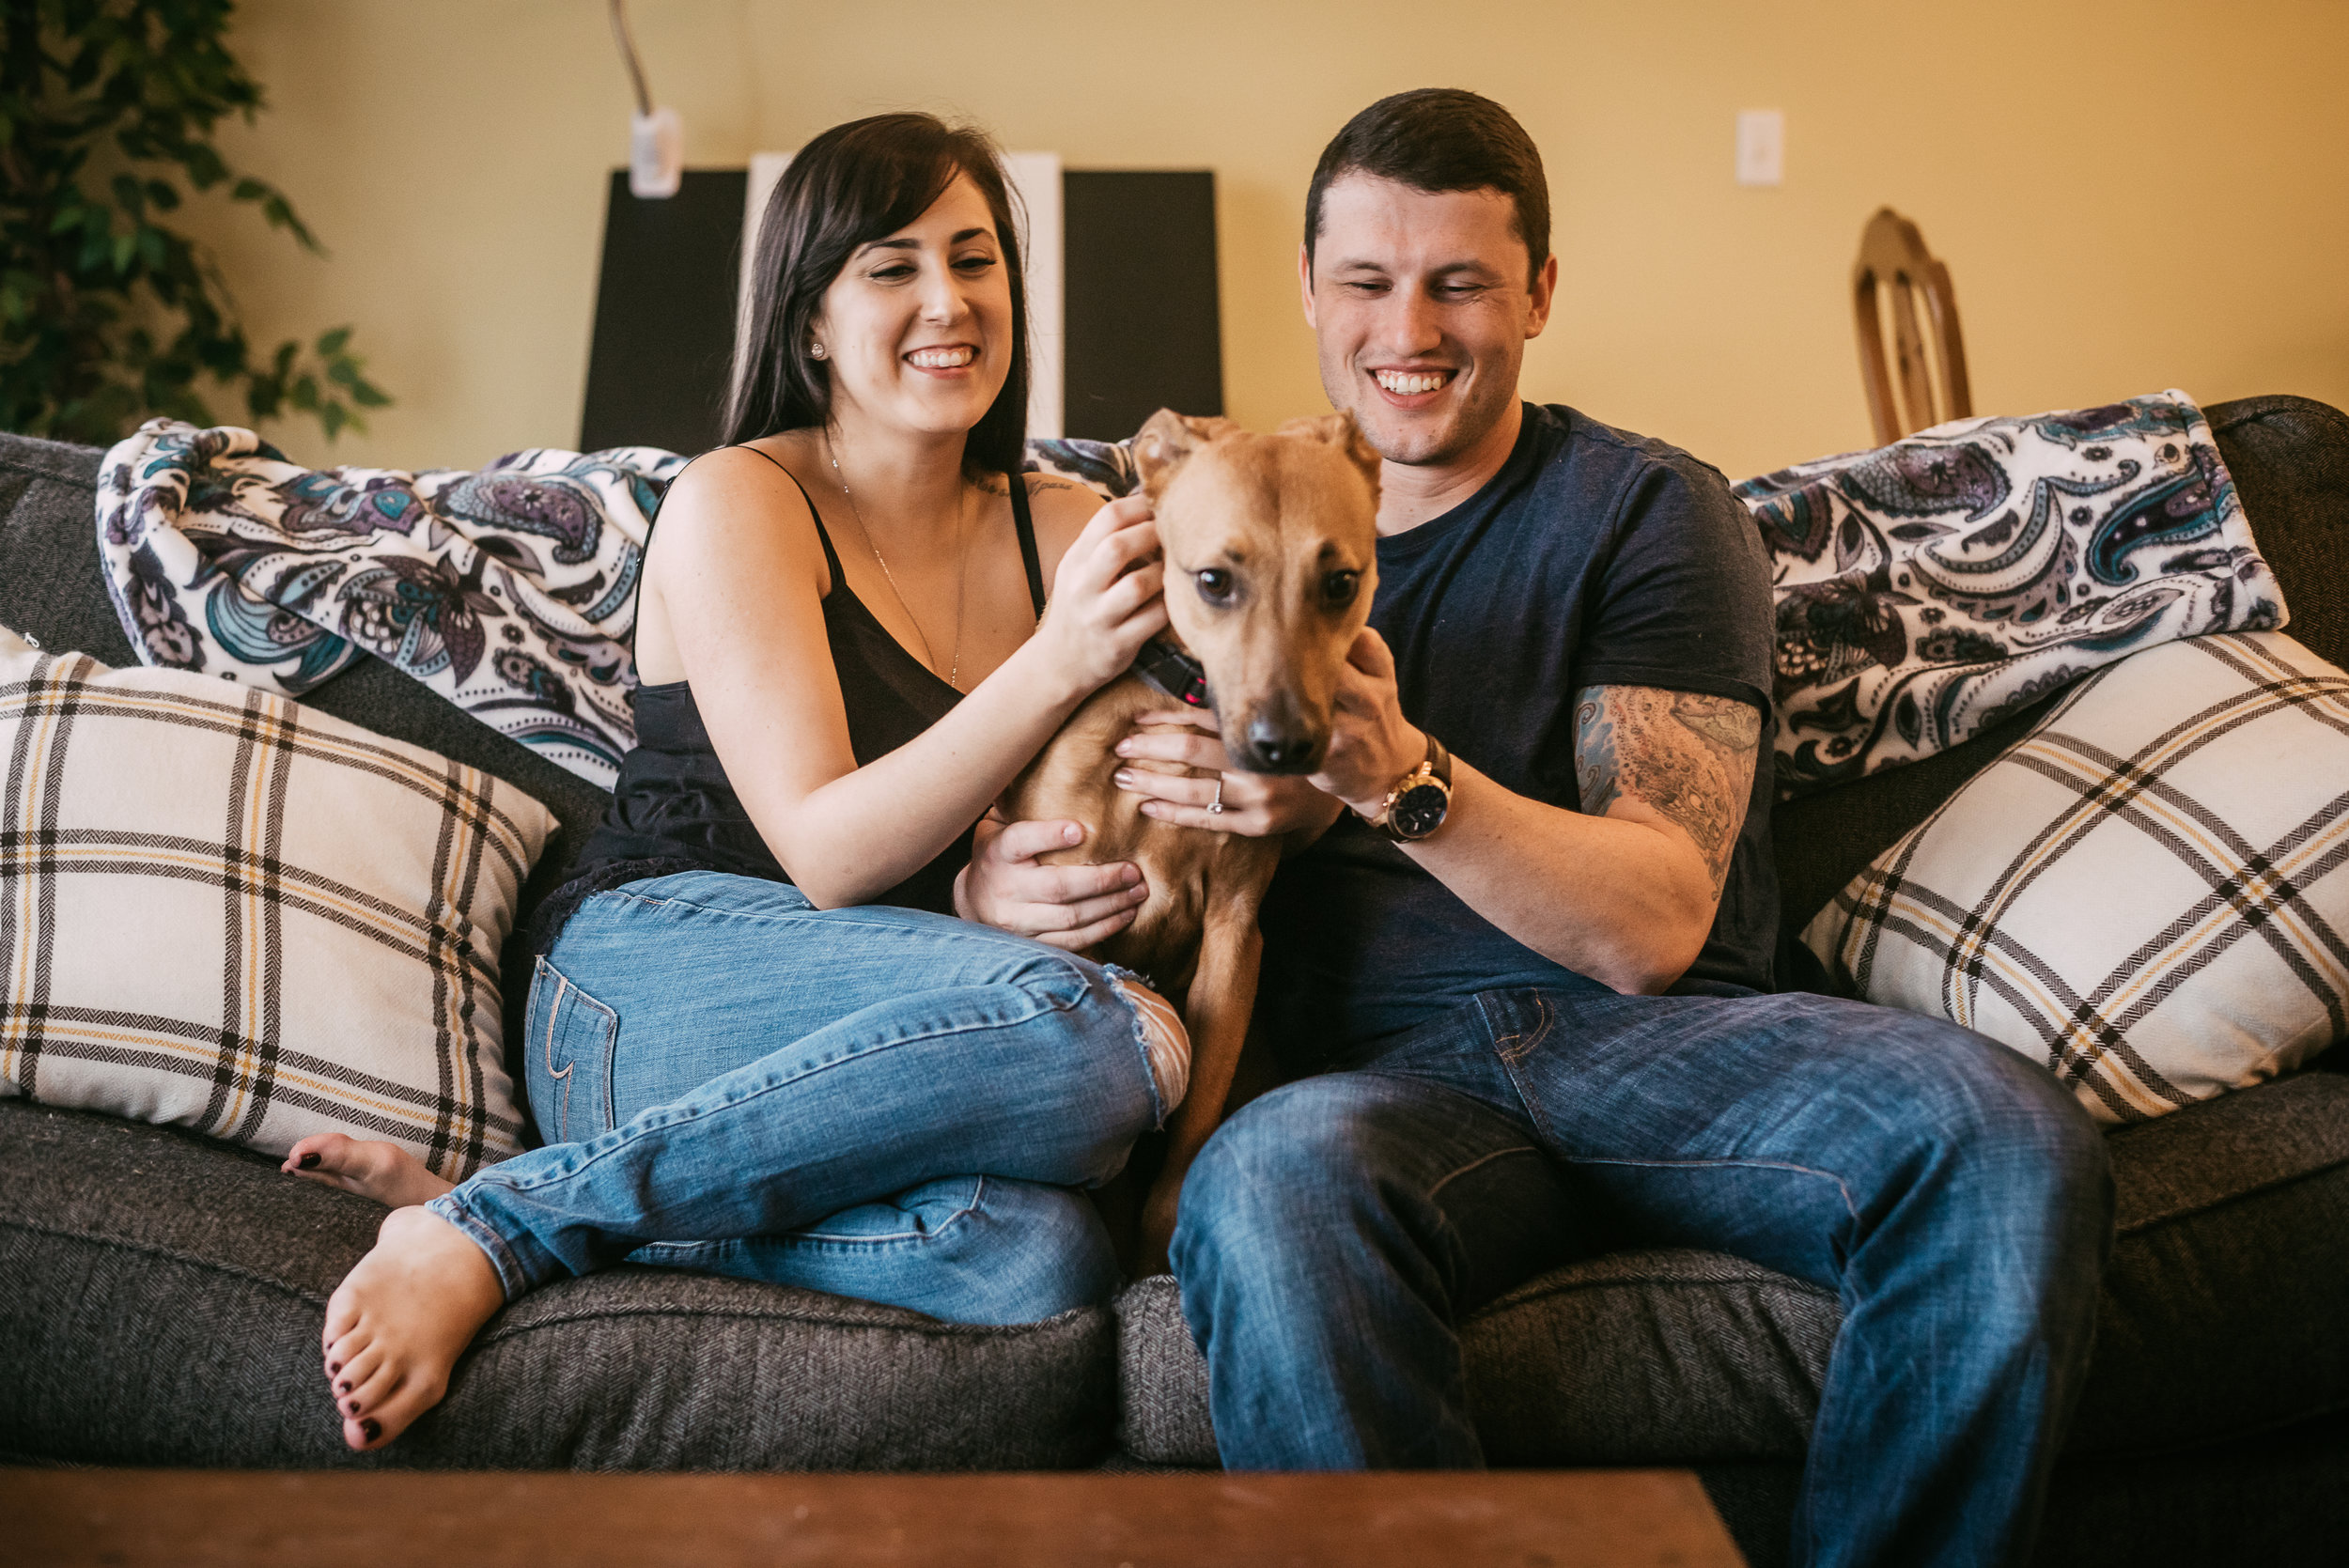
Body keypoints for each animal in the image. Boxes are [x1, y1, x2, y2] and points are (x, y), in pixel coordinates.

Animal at [1005, 408, 1372, 1277]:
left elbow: (1187, 1143)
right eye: (1213, 581)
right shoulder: (1074, 914)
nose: (1284, 746)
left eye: (1340, 583)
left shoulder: (1234, 939)